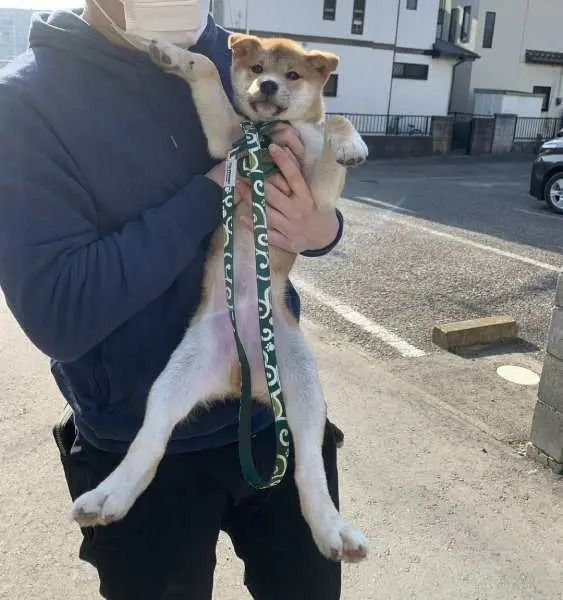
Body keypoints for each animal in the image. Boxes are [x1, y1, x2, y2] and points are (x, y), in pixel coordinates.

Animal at [71, 36, 370, 564]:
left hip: (303, 387)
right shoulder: (227, 143)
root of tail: (238, 373)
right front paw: (174, 55)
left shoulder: (316, 197)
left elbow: (334, 121)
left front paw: (351, 142)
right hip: (175, 378)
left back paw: (333, 530)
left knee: (308, 467)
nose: (267, 86)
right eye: (256, 67)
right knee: (149, 445)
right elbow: (209, 70)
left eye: (293, 75)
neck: (269, 135)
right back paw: (108, 497)